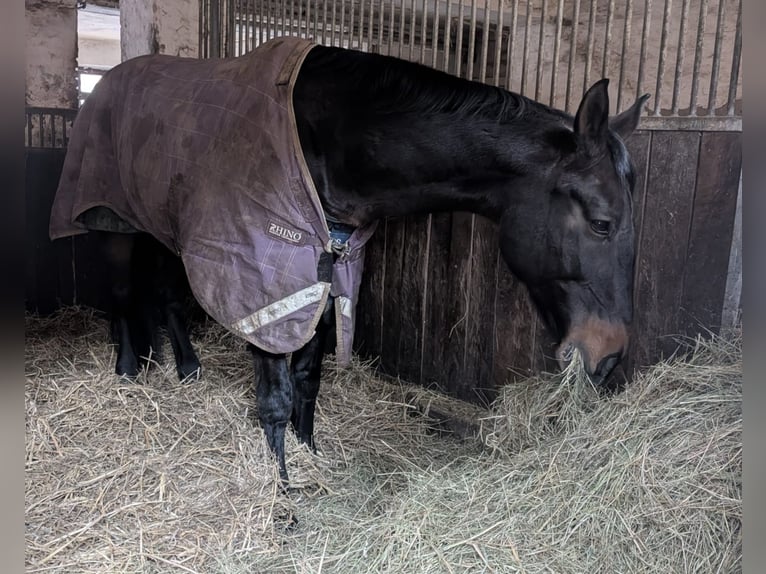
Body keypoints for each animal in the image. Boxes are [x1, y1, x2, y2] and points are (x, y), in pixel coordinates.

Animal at [50, 37, 649, 484]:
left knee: (168, 298)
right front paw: (281, 492)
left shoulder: (326, 270)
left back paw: (187, 369)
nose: (610, 357)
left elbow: (309, 378)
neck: (330, 139)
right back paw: (129, 372)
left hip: (163, 229)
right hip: (112, 223)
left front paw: (311, 456)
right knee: (122, 295)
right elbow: (275, 395)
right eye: (602, 222)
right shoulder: (267, 280)